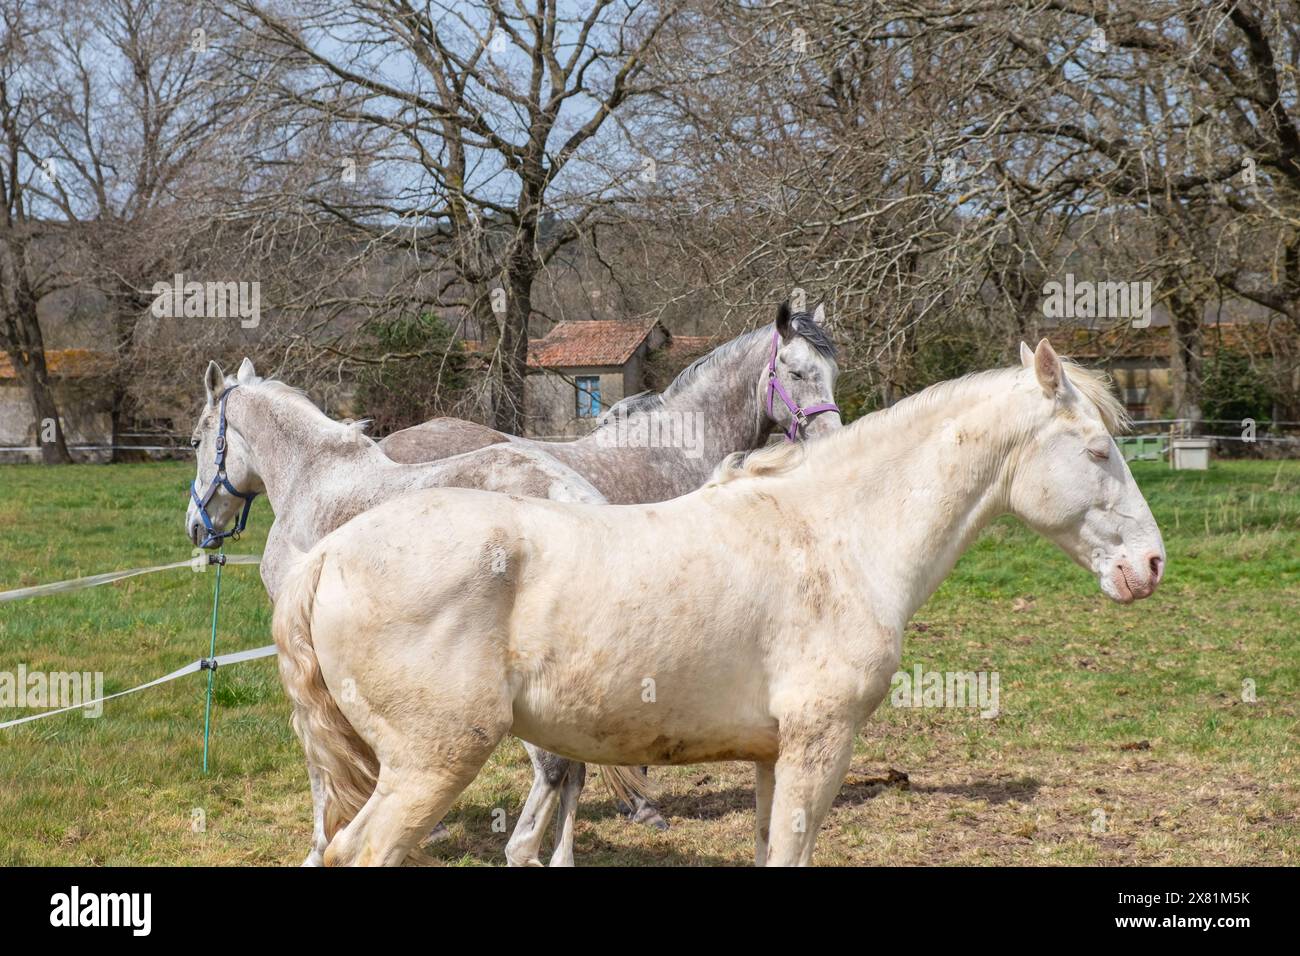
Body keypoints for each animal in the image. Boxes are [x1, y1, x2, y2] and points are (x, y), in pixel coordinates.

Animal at [274, 343, 1170, 868]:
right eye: (1099, 451)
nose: (1150, 565)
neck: (834, 538)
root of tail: (328, 555)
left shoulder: (773, 757)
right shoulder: (818, 747)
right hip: (430, 764)